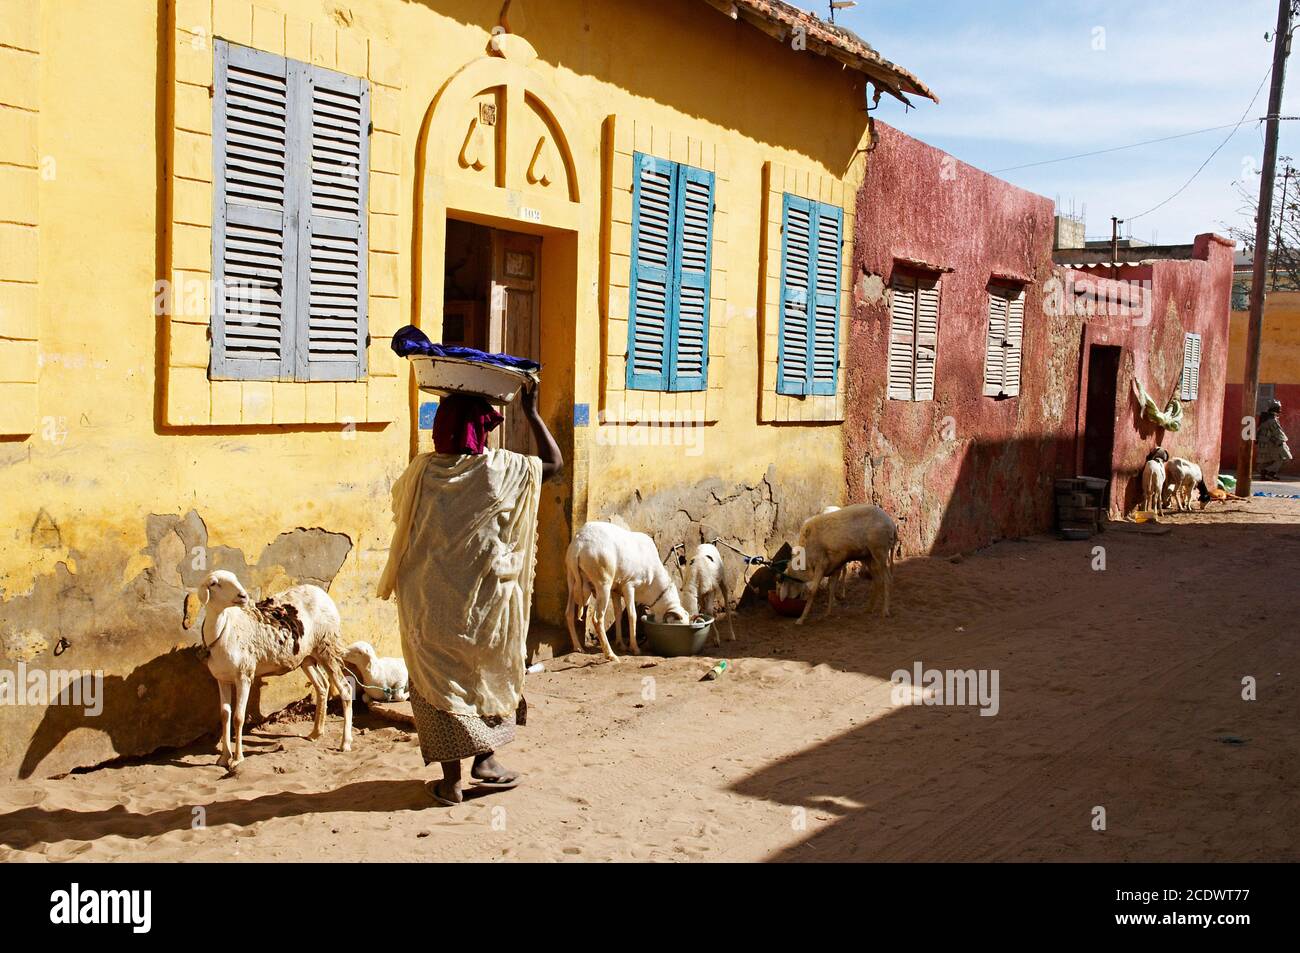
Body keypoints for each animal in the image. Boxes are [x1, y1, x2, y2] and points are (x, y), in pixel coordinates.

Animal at [183, 569, 353, 769]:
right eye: (214, 583)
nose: (243, 596)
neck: (224, 629)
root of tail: (322, 594)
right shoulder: (222, 678)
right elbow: (225, 715)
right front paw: (224, 758)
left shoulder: (244, 676)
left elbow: (238, 717)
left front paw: (237, 759)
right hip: (307, 656)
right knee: (323, 685)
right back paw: (315, 733)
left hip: (327, 646)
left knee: (345, 689)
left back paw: (345, 743)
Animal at [566, 520, 691, 660]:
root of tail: (580, 543)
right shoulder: (629, 586)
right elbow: (632, 615)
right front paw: (635, 648)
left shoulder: (615, 590)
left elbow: (618, 614)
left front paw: (621, 644)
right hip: (603, 585)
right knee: (597, 619)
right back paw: (611, 655)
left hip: (572, 581)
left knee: (569, 613)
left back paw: (578, 647)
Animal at [790, 501, 894, 629]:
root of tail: (892, 525)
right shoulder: (834, 564)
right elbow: (831, 586)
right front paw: (828, 612)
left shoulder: (821, 563)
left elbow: (813, 590)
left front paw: (801, 619)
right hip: (870, 556)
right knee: (878, 580)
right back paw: (869, 609)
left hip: (880, 552)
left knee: (887, 579)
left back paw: (885, 611)